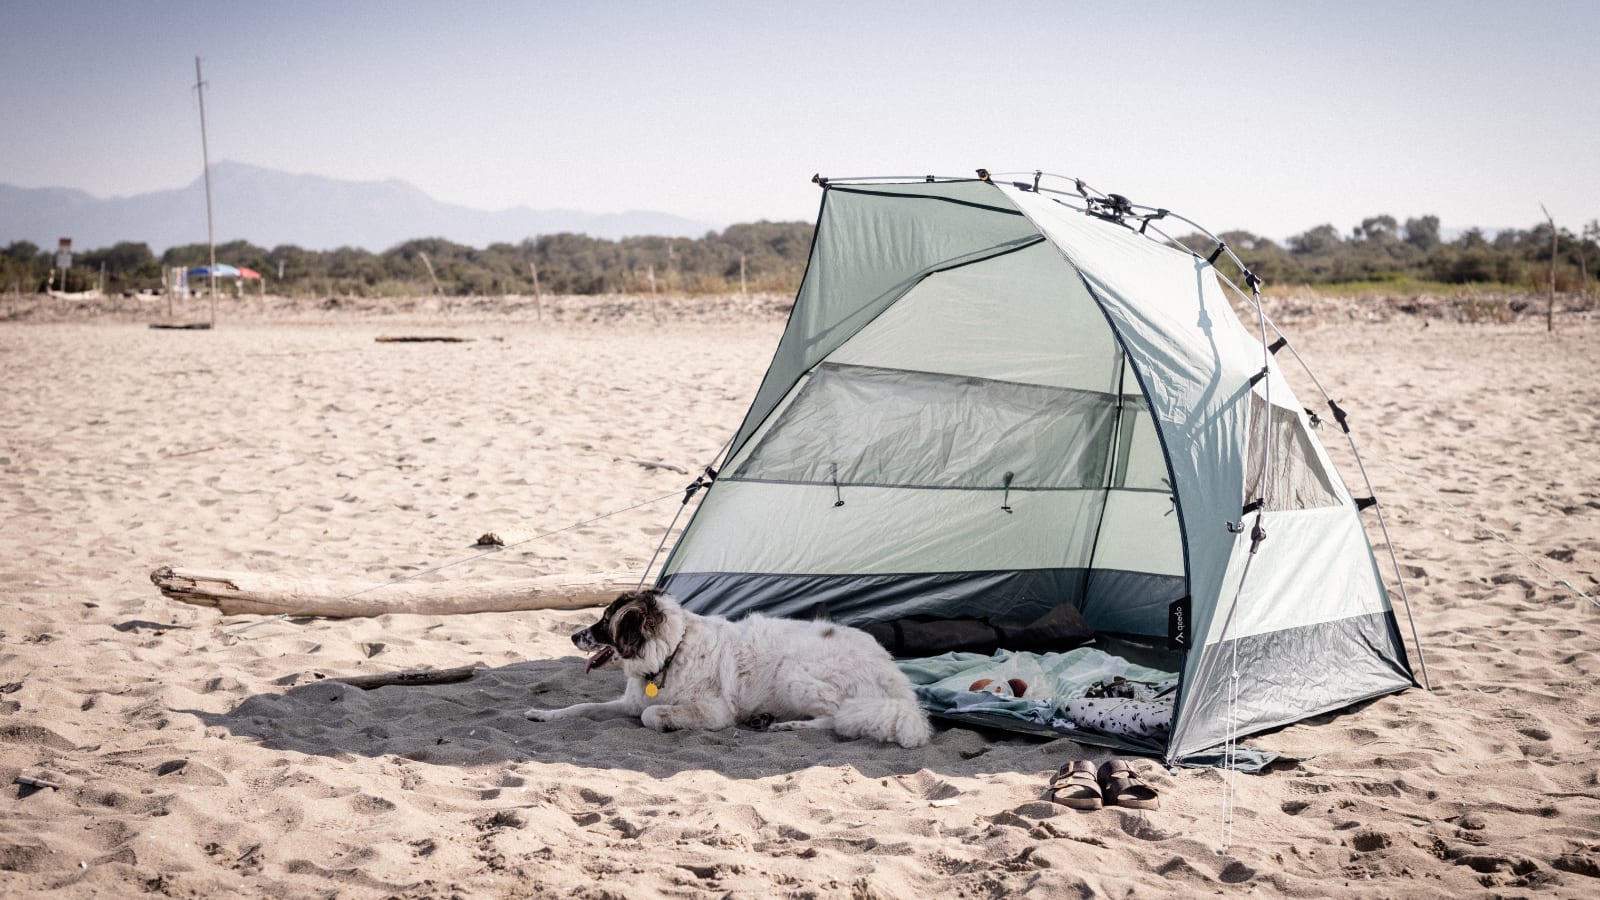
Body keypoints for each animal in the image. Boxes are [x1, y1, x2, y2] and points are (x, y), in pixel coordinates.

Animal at [524, 586, 934, 746]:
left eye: (605, 621)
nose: (574, 636)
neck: (671, 653)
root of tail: (896, 681)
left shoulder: (713, 710)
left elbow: (651, 715)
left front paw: (667, 721)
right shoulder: (628, 701)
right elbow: (582, 706)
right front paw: (543, 714)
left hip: (794, 674)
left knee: (838, 717)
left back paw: (784, 725)